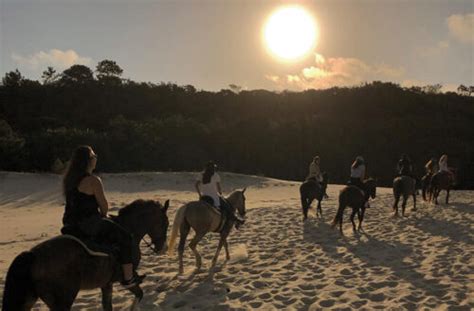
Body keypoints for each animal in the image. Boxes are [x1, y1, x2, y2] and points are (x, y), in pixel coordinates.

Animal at [0, 200, 168, 311]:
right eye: (164, 224)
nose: (162, 249)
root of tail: (33, 255)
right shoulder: (124, 280)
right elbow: (139, 294)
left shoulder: (106, 283)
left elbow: (108, 305)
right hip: (62, 301)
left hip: (30, 299)